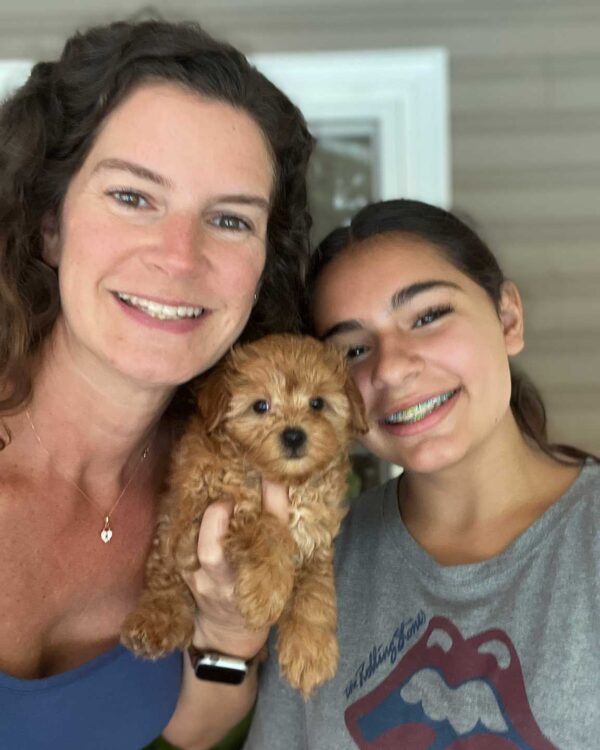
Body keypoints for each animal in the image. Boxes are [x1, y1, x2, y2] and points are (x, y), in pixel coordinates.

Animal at [120, 334, 368, 700]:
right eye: (260, 406)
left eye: (318, 404)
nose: (294, 435)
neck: (286, 481)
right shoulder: (202, 510)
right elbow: (267, 528)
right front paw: (267, 591)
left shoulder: (317, 537)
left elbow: (316, 587)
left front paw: (310, 648)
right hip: (169, 531)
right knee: (165, 580)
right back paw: (155, 620)